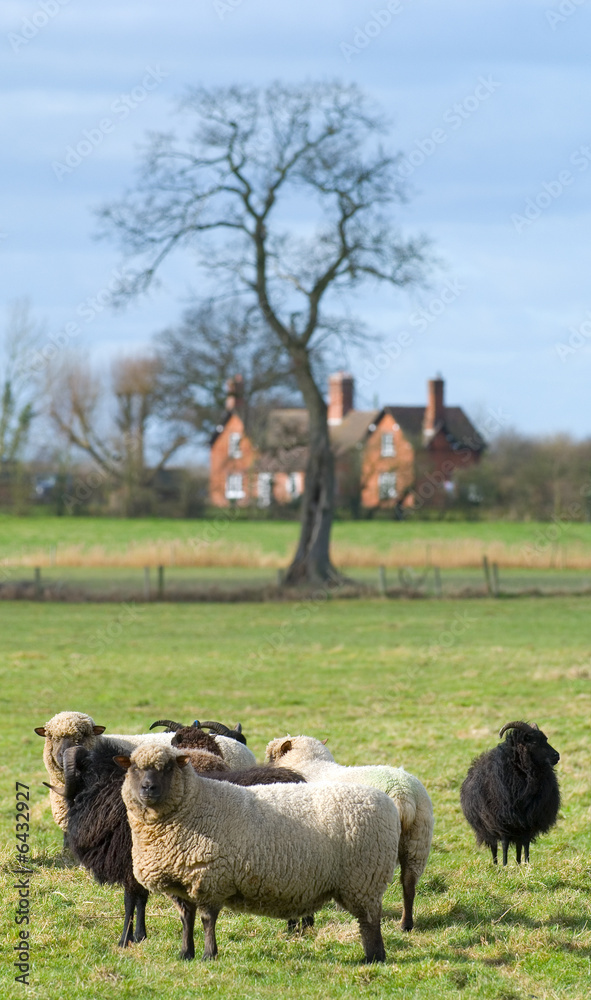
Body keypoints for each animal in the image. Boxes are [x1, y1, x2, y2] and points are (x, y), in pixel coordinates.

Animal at [116, 743, 401, 964]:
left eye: (168, 768)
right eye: (134, 768)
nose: (148, 788)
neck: (193, 804)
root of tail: (387, 803)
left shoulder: (210, 878)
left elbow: (207, 920)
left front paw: (209, 955)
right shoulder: (181, 884)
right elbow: (186, 919)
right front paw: (186, 954)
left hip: (364, 878)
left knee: (369, 921)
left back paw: (373, 958)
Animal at [265, 735, 433, 932]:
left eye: (271, 757)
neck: (310, 763)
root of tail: (402, 793)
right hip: (418, 840)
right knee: (409, 884)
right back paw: (406, 924)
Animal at [460, 720, 560, 866]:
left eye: (545, 739)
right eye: (534, 742)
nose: (556, 756)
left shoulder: (529, 820)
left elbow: (525, 844)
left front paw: (527, 863)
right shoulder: (502, 821)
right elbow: (504, 843)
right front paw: (505, 864)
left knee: (518, 845)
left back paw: (518, 863)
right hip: (488, 827)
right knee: (494, 846)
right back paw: (496, 864)